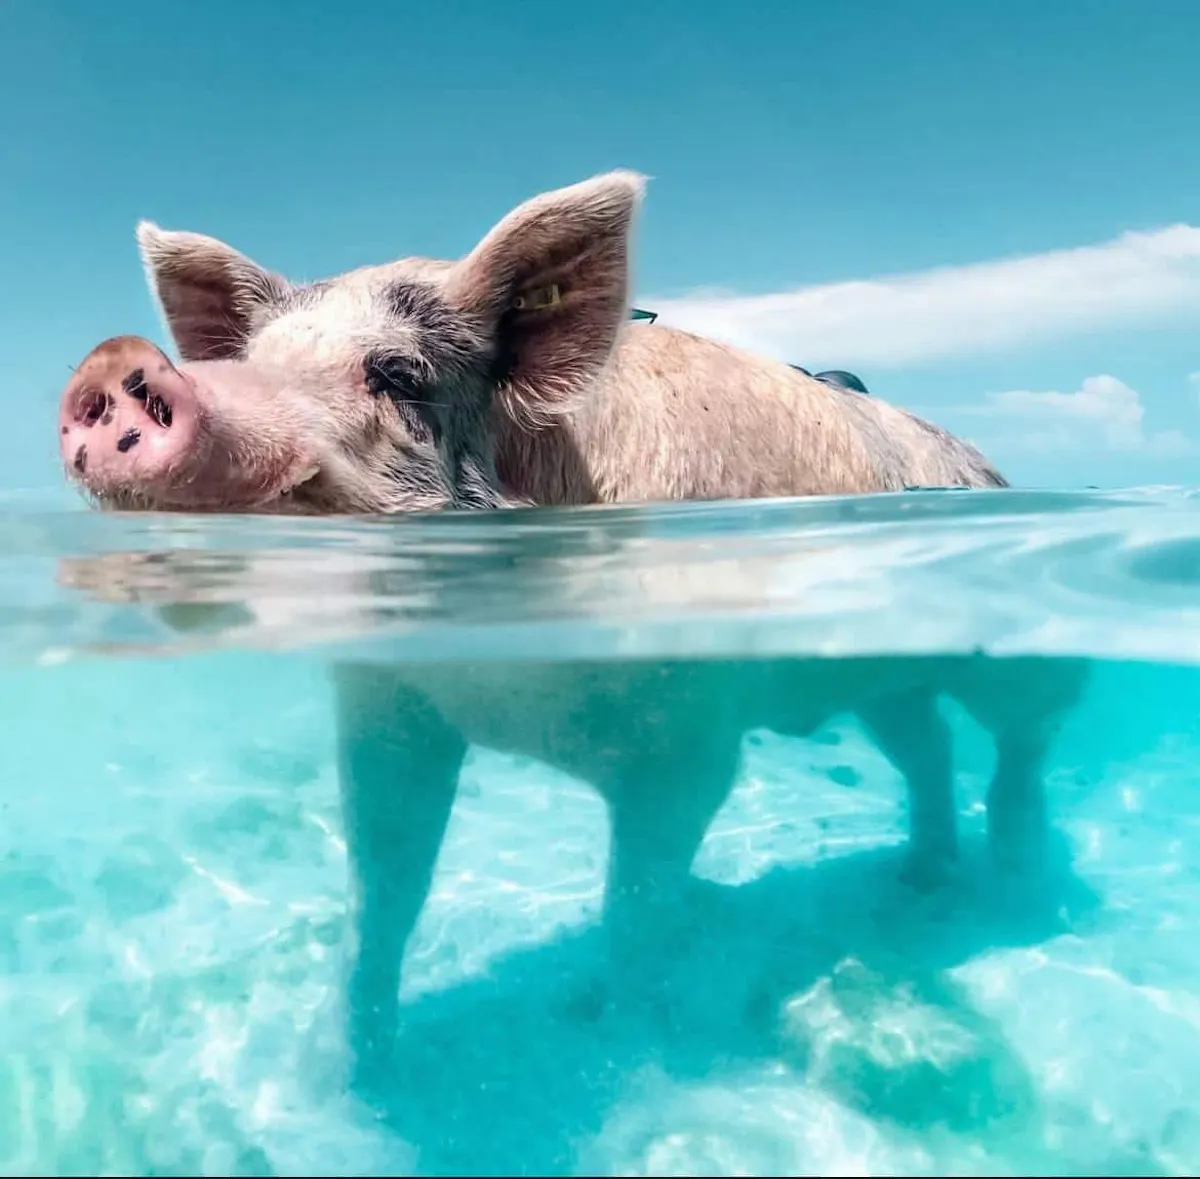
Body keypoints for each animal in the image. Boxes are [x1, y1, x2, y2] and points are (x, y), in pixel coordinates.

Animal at [56, 170, 1087, 1084]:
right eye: (246, 364)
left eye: (397, 373)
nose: (116, 361)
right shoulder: (390, 705)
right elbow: (386, 881)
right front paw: (355, 1072)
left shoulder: (689, 737)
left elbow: (633, 903)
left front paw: (607, 1031)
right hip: (878, 671)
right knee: (922, 744)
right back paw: (921, 880)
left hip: (1004, 648)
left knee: (1020, 736)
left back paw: (1017, 875)